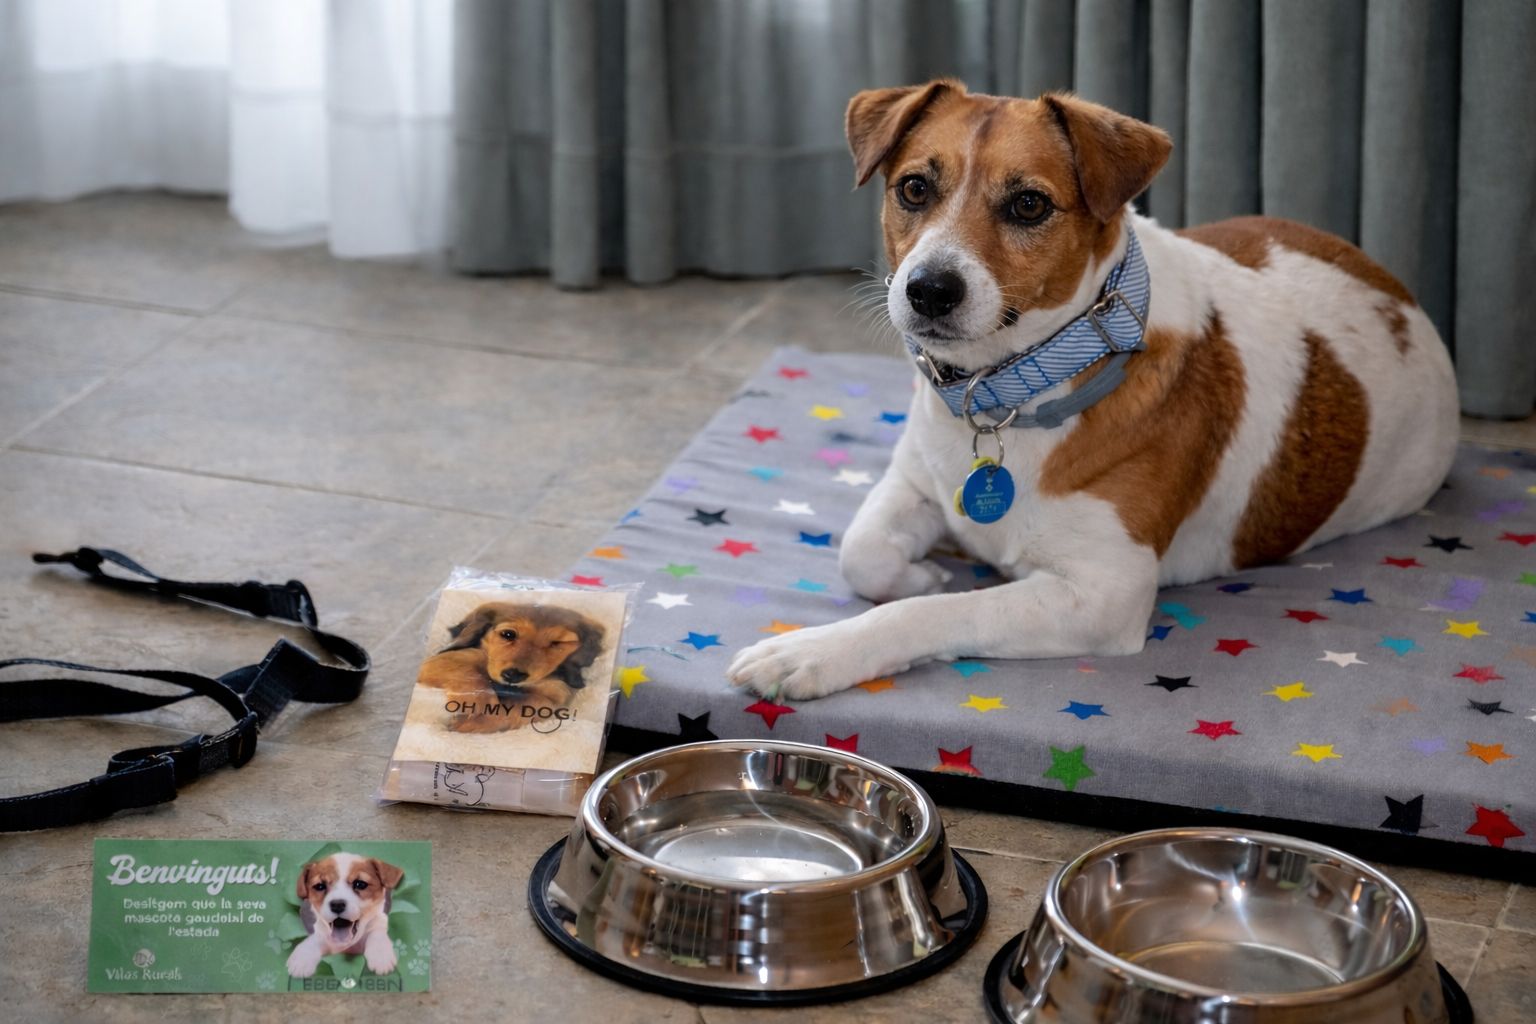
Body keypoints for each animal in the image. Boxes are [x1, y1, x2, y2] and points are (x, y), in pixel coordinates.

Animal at [417, 602, 604, 732]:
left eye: (556, 643)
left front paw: (474, 722)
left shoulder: (554, 694)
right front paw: (478, 702)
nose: (513, 675)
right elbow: (468, 672)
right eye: (508, 634)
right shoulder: (438, 662)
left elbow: (531, 705)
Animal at [728, 79, 1458, 701]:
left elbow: (931, 611)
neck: (1011, 396)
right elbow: (863, 554)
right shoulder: (913, 480)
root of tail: (1398, 292)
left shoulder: (1103, 597)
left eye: (1029, 203)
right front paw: (920, 568)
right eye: (913, 188)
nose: (929, 289)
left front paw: (814, 651)